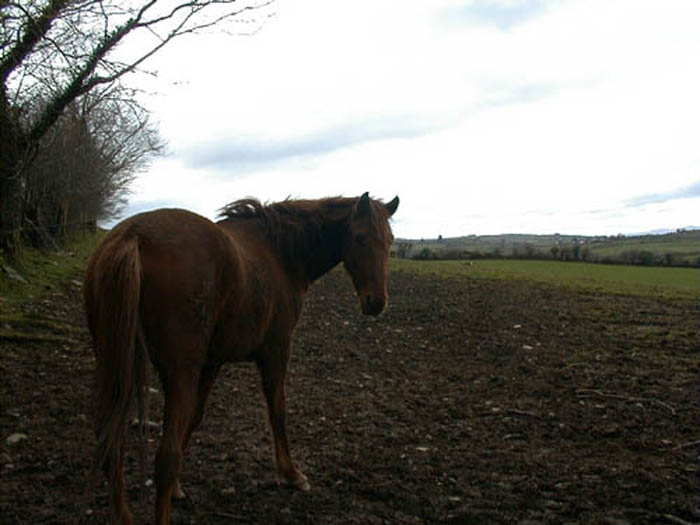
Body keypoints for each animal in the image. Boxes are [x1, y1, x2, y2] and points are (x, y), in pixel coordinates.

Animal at [83, 192, 399, 524]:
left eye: (390, 241)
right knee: (164, 457)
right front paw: (291, 474)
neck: (279, 253)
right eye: (360, 237)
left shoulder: (211, 362)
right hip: (179, 373)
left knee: (110, 442)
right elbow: (277, 410)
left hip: (118, 363)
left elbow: (194, 419)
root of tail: (133, 237)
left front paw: (178, 488)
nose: (376, 302)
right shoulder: (275, 351)